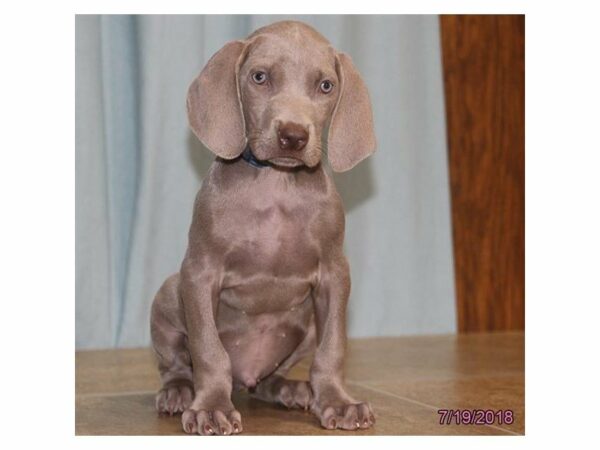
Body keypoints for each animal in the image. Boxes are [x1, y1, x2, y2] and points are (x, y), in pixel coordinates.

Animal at [150, 19, 376, 434]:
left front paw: (337, 401)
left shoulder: (335, 274)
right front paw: (211, 408)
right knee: (174, 362)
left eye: (325, 86)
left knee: (272, 377)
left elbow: (334, 347)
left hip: (306, 321)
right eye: (259, 77)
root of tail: (246, 379)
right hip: (170, 293)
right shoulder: (200, 272)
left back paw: (289, 389)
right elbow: (208, 350)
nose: (293, 136)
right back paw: (179, 392)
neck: (276, 184)